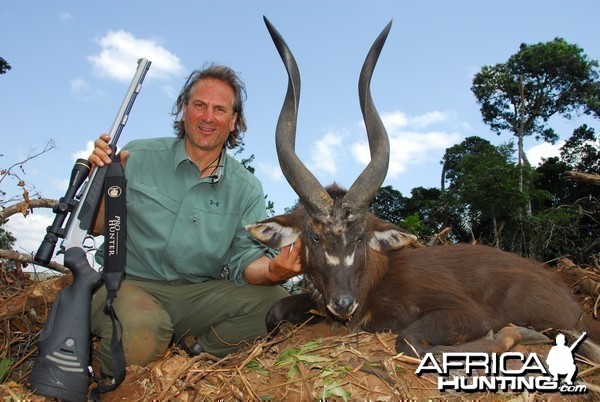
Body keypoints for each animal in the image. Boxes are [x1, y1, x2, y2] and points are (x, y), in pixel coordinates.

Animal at [247, 17, 600, 360]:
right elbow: (273, 312)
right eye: (315, 237)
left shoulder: (469, 314)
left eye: (360, 237)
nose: (344, 303)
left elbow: (409, 340)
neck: (376, 281)